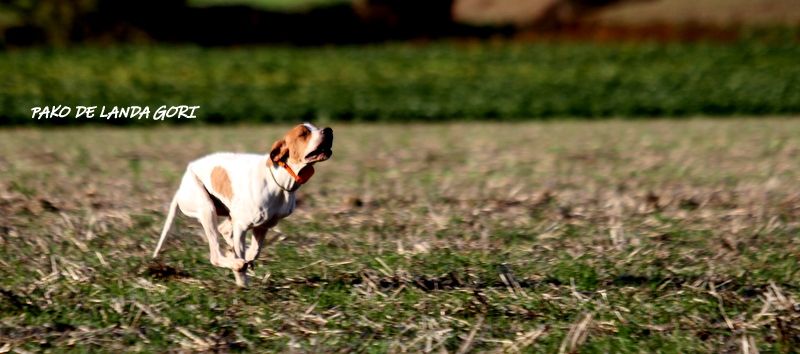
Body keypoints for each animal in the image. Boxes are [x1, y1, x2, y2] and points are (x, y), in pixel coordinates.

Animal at [153, 123, 332, 286]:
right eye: (303, 134)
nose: (328, 130)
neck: (279, 178)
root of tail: (180, 187)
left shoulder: (262, 226)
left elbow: (255, 251)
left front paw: (246, 261)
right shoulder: (241, 226)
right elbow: (242, 256)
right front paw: (242, 281)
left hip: (226, 212)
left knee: (224, 231)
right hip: (207, 209)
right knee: (215, 255)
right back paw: (235, 262)